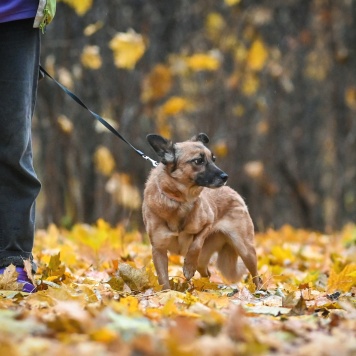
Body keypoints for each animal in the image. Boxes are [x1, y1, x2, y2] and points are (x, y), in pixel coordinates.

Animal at [142, 132, 262, 290]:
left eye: (213, 159)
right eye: (198, 161)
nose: (225, 177)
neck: (180, 201)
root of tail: (234, 193)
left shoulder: (208, 223)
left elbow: (195, 245)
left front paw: (188, 267)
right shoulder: (158, 250)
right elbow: (163, 279)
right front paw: (167, 293)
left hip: (245, 249)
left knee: (256, 277)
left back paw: (259, 290)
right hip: (207, 260)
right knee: (207, 274)